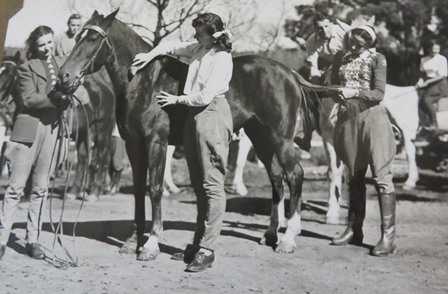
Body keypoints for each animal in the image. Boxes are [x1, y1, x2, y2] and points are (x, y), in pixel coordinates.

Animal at [57, 10, 328, 260]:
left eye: (92, 38)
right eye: (78, 36)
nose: (63, 76)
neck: (145, 82)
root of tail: (290, 74)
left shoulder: (156, 142)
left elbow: (155, 189)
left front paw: (151, 244)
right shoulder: (134, 145)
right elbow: (138, 190)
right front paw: (133, 240)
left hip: (280, 140)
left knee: (295, 176)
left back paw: (288, 239)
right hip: (261, 138)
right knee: (276, 179)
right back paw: (270, 234)